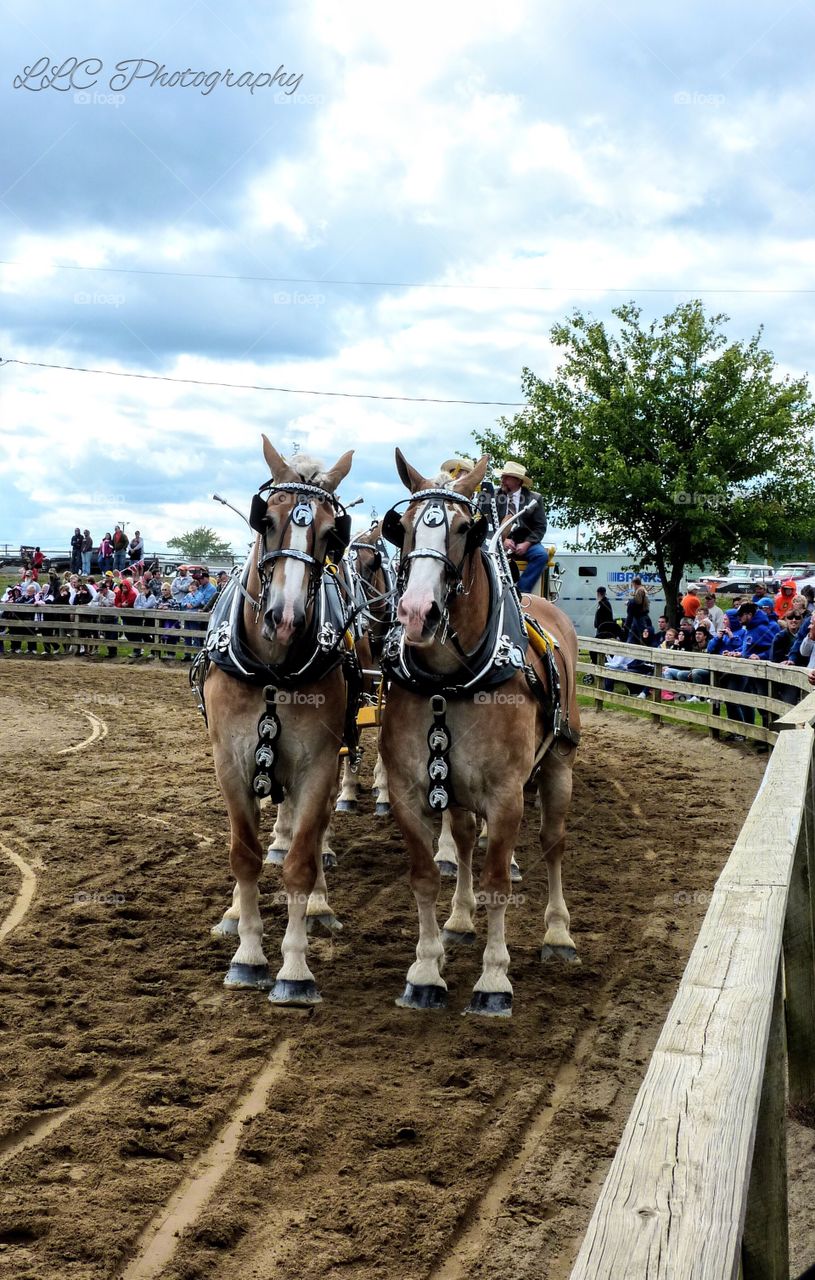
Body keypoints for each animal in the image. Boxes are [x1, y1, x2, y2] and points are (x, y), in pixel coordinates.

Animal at [195, 435, 358, 1003]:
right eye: (265, 520)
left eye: (332, 534)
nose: (285, 619)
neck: (271, 668)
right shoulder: (230, 761)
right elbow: (242, 854)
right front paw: (246, 954)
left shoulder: (317, 763)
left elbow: (301, 861)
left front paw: (294, 966)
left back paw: (321, 906)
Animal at [378, 450, 580, 1018]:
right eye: (401, 526)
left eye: (467, 528)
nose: (417, 613)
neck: (450, 681)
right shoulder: (410, 791)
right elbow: (426, 875)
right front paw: (426, 969)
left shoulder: (507, 795)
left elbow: (497, 881)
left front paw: (493, 979)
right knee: (466, 840)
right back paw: (461, 919)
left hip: (558, 764)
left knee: (553, 842)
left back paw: (558, 934)